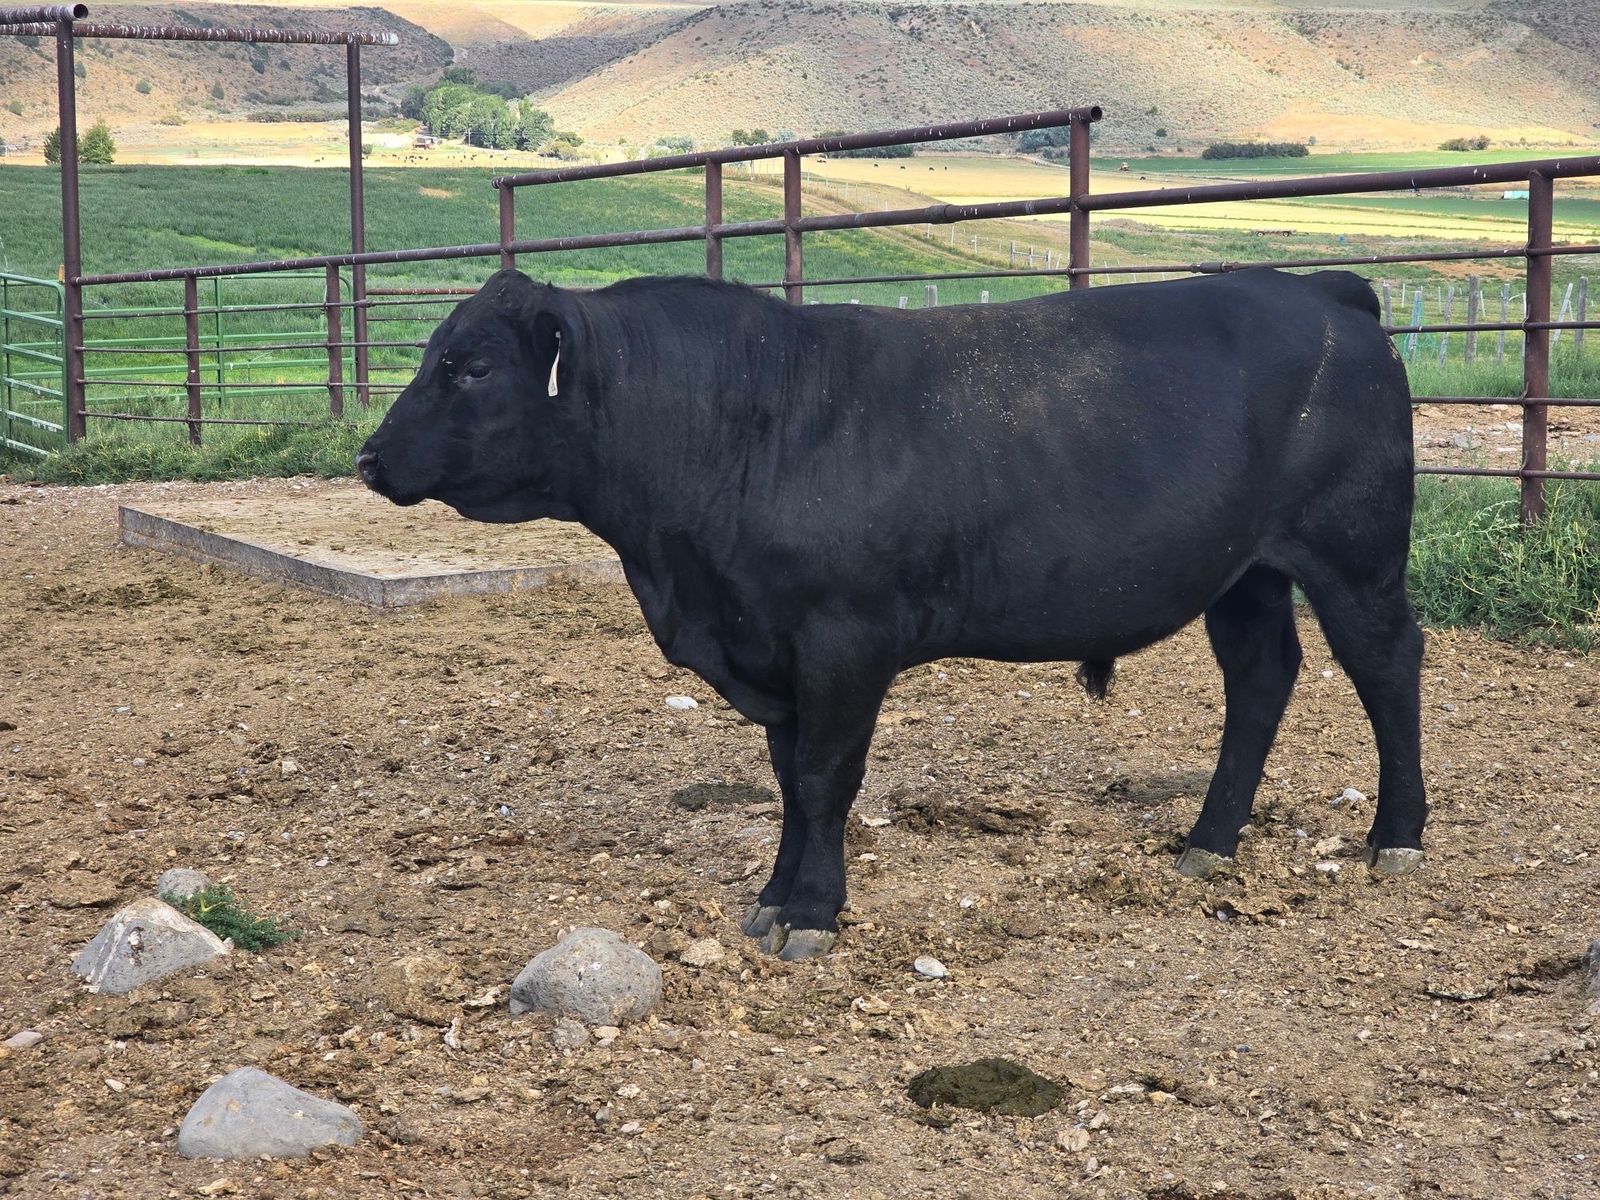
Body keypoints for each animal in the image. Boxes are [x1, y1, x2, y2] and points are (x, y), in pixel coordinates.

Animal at [358, 267, 1426, 960]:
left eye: (473, 367)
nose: (369, 457)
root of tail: (1320, 288)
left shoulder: (843, 639)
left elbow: (825, 779)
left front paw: (813, 914)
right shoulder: (773, 651)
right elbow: (789, 783)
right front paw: (773, 898)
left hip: (1354, 554)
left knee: (1388, 668)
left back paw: (1397, 836)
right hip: (1245, 572)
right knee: (1261, 677)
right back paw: (1208, 842)